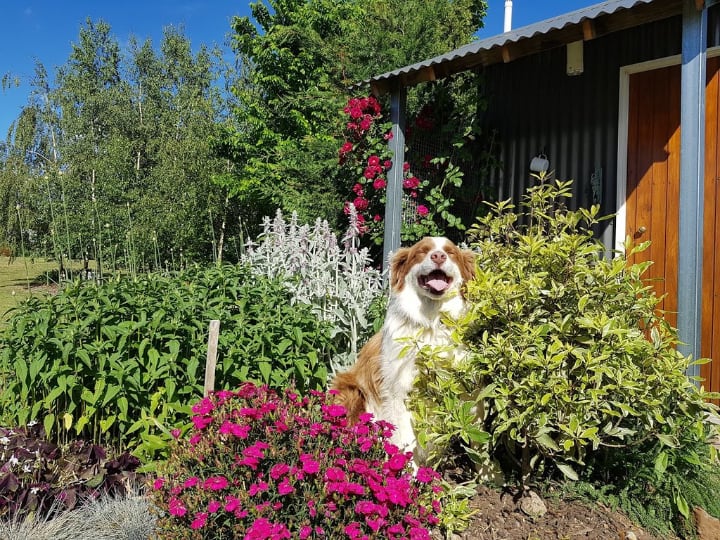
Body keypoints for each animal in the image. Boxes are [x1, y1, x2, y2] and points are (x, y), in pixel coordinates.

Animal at [332, 236, 478, 456]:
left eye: (451, 252)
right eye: (422, 251)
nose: (438, 256)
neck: (431, 322)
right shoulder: (398, 390)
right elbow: (405, 440)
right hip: (350, 392)